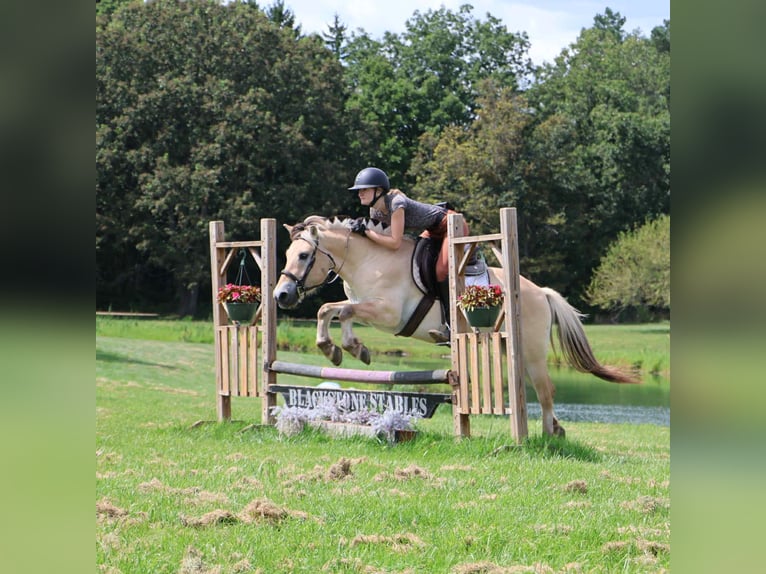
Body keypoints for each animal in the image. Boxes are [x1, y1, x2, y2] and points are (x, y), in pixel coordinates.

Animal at [273, 215, 639, 436]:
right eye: (288, 254)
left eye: (304, 256)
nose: (281, 295)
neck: (369, 260)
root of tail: (540, 292)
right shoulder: (368, 308)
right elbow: (332, 310)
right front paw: (339, 349)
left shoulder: (389, 315)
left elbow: (340, 311)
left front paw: (347, 348)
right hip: (508, 347)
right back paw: (559, 429)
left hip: (532, 351)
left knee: (545, 390)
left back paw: (549, 434)